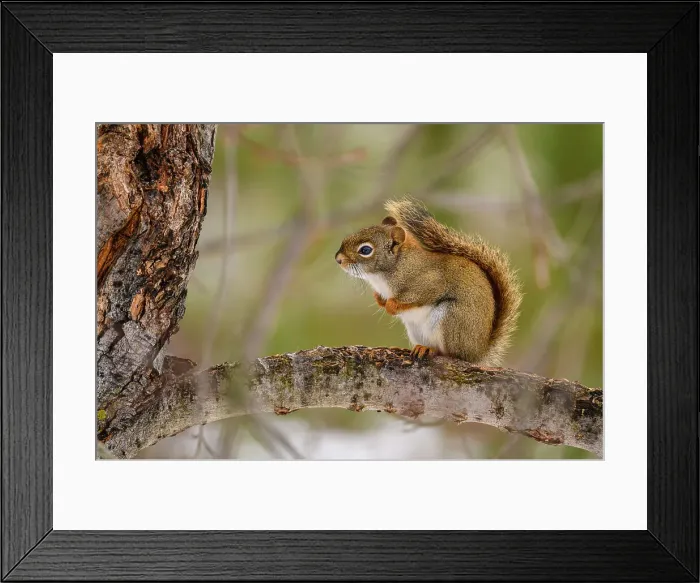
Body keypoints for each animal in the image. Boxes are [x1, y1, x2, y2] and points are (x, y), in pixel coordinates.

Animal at [335, 198, 523, 367]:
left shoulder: (429, 280)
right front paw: (380, 300)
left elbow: (420, 294)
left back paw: (431, 350)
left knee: (452, 354)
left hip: (452, 318)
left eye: (366, 250)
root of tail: (477, 353)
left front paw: (392, 306)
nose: (338, 259)